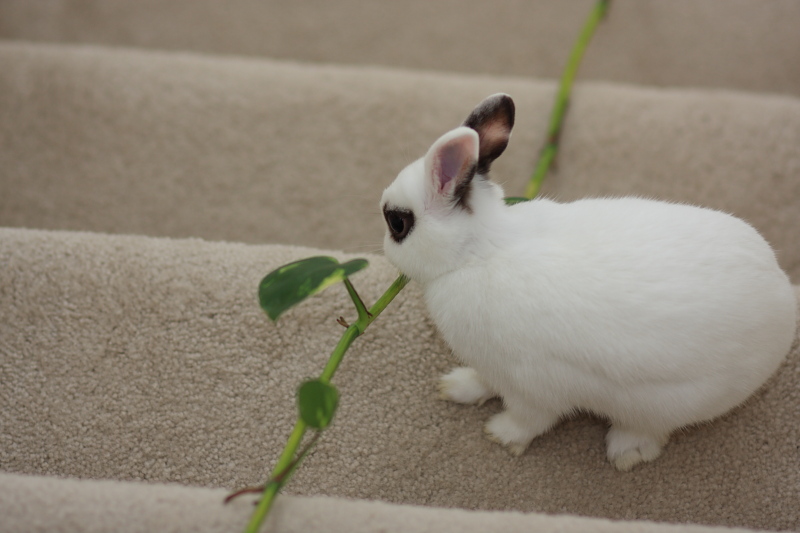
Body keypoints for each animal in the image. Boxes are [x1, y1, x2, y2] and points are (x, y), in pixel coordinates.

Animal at [380, 93, 792, 468]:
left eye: (398, 222)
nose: (384, 246)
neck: (477, 250)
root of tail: (784, 295)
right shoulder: (492, 366)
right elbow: (482, 380)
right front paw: (455, 387)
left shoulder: (531, 383)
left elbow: (530, 418)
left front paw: (500, 435)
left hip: (665, 402)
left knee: (652, 429)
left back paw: (626, 453)